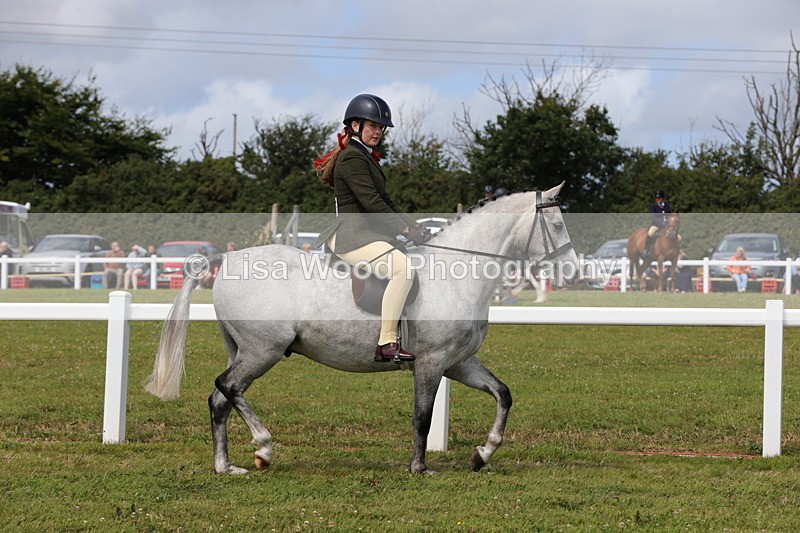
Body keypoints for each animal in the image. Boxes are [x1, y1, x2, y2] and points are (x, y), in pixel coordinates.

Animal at [143, 183, 579, 475]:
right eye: (556, 225)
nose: (573, 273)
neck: (457, 272)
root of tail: (225, 262)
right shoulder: (431, 362)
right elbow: (422, 416)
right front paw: (420, 468)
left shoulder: (458, 362)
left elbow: (502, 394)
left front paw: (482, 454)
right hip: (262, 350)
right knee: (228, 387)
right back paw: (263, 449)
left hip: (242, 349)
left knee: (220, 399)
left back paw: (226, 466)